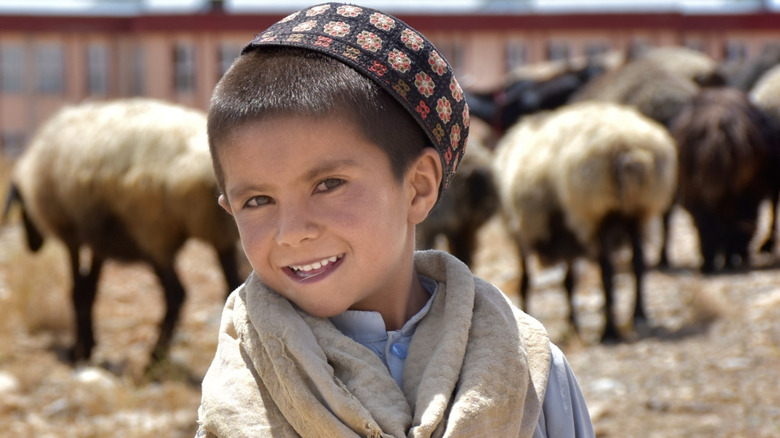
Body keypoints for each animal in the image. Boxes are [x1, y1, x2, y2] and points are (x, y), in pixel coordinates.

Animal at [3, 97, 241, 368]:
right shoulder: (98, 242)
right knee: (232, 287)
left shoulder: (72, 235)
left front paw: (77, 352)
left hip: (154, 233)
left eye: (19, 204)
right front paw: (88, 346)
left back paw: (152, 360)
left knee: (176, 293)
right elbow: (90, 290)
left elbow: (77, 291)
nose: (32, 246)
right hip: (219, 234)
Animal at [496, 100, 680, 342]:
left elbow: (527, 281)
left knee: (607, 270)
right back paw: (639, 316)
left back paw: (609, 331)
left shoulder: (522, 234)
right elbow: (568, 282)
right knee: (638, 264)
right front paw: (573, 325)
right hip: (638, 211)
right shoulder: (568, 241)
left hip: (598, 212)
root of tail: (628, 153)